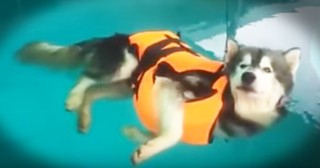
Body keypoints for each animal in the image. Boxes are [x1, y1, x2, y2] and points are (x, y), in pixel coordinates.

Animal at [16, 30, 302, 165]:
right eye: (242, 66)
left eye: (267, 70)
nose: (249, 77)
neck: (234, 105)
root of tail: (118, 36)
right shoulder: (169, 84)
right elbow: (172, 133)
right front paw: (146, 150)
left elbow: (158, 131)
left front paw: (136, 136)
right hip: (124, 66)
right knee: (86, 78)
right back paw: (74, 98)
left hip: (126, 86)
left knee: (93, 91)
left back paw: (84, 117)